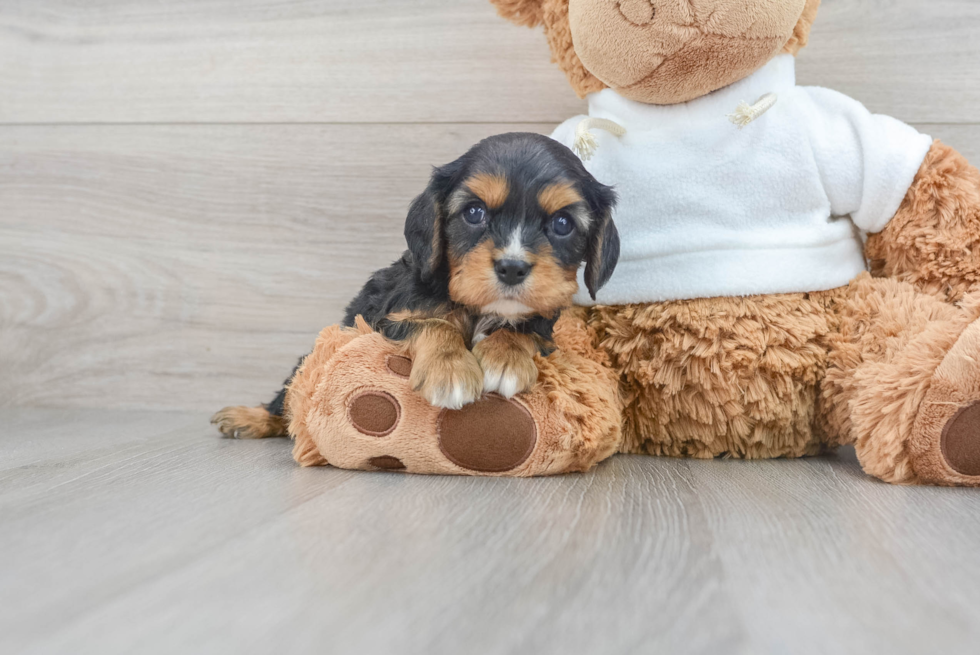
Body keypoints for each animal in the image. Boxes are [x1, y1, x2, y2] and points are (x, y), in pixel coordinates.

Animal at [212, 132, 616, 440]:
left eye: (563, 224)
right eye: (473, 213)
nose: (512, 268)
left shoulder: (546, 332)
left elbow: (525, 329)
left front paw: (506, 357)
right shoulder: (384, 319)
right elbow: (433, 324)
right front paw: (449, 371)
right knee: (286, 399)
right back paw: (247, 418)